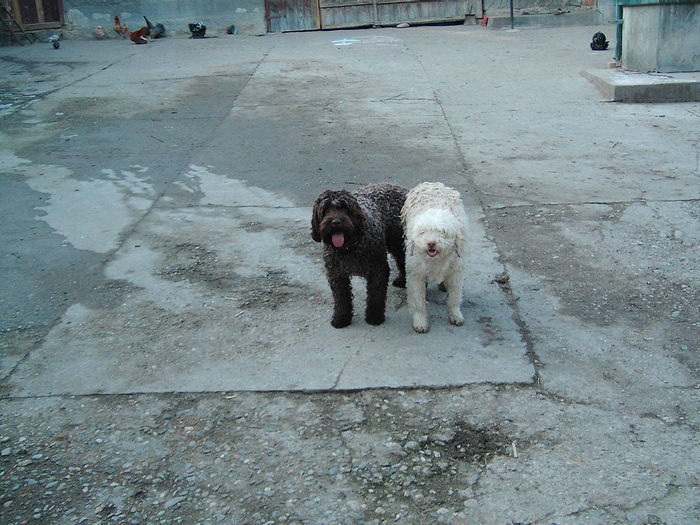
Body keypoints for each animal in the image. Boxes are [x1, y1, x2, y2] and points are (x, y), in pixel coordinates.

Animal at [402, 182, 468, 332]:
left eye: (442, 232)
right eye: (423, 232)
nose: (431, 243)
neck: (435, 260)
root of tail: (433, 183)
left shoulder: (456, 272)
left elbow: (455, 297)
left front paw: (455, 314)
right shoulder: (416, 274)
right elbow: (418, 301)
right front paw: (420, 321)